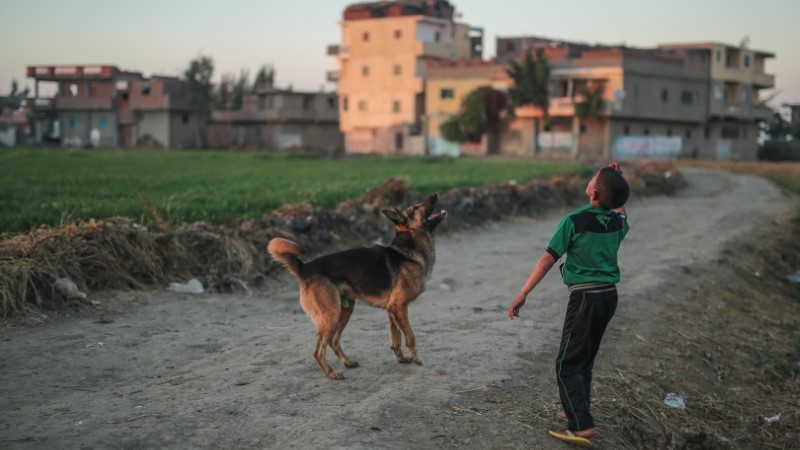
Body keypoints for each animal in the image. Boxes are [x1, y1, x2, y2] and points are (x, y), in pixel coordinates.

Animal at [268, 193, 444, 380]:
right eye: (415, 208)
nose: (435, 194)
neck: (407, 251)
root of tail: (305, 268)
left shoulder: (393, 309)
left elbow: (395, 337)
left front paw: (402, 359)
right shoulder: (399, 307)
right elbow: (410, 335)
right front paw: (417, 359)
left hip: (345, 310)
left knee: (333, 341)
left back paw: (347, 362)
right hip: (331, 315)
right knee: (318, 351)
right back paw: (331, 373)